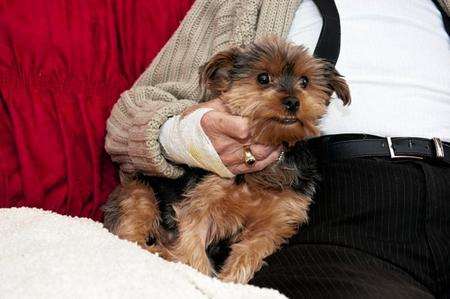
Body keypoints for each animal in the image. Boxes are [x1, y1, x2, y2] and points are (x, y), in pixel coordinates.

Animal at [103, 36, 352, 284]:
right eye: (263, 78)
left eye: (305, 81)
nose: (292, 102)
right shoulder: (201, 202)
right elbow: (193, 246)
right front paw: (200, 273)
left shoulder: (275, 223)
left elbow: (249, 252)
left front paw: (230, 281)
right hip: (140, 194)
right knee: (131, 235)